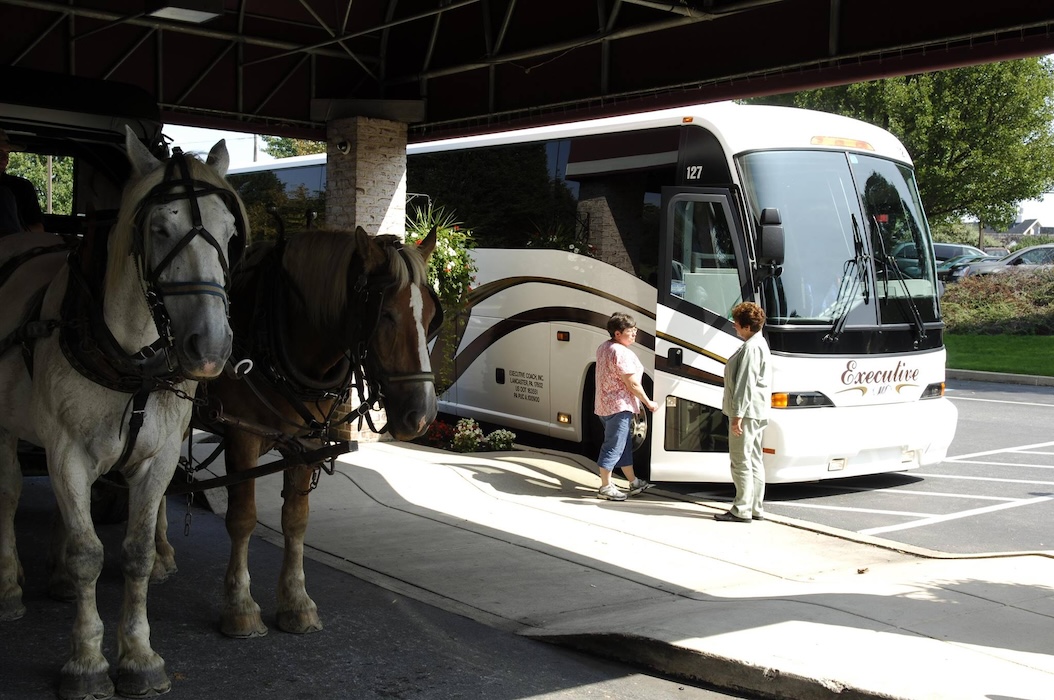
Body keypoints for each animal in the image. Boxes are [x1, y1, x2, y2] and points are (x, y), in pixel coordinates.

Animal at [0, 131, 242, 700]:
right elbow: (90, 554)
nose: (210, 347)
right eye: (159, 228)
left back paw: (57, 580)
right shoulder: (66, 451)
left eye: (228, 231)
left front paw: (139, 656)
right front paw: (87, 663)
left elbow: (136, 553)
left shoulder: (157, 458)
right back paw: (9, 588)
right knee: (10, 492)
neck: (131, 362)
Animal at [187, 226, 438, 636]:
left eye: (431, 316)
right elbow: (242, 518)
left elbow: (296, 519)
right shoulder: (241, 436)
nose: (423, 415)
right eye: (385, 314)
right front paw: (240, 607)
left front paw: (296, 602)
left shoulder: (306, 441)